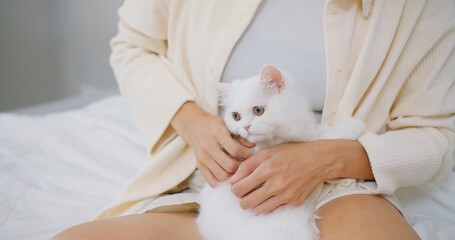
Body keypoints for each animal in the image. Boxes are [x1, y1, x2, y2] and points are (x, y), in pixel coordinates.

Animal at [197, 65, 366, 240]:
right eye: (236, 116)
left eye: (258, 110)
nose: (245, 127)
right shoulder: (307, 139)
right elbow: (326, 137)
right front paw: (355, 125)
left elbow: (321, 133)